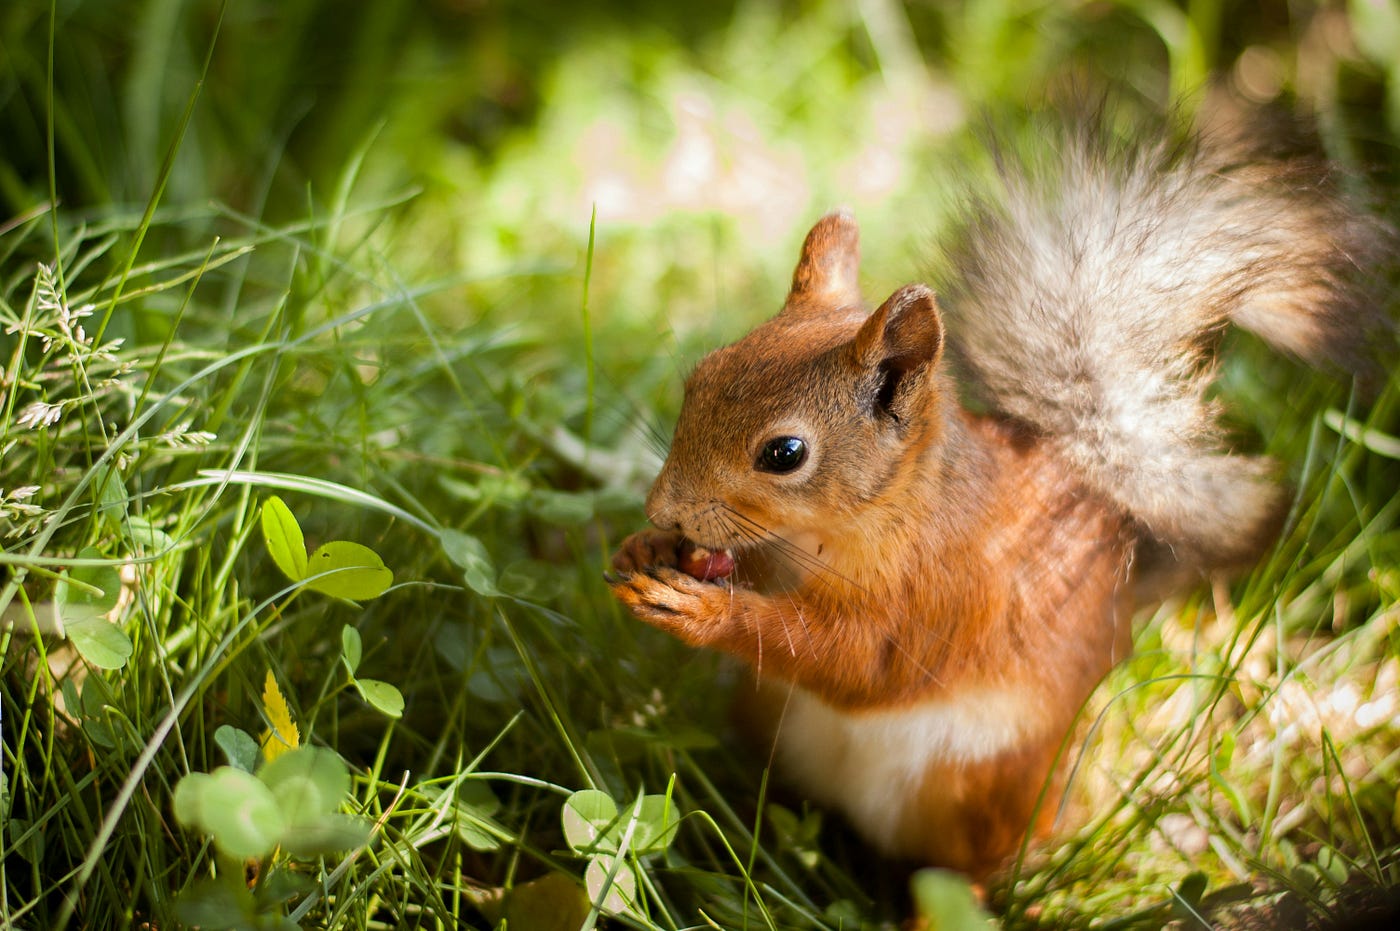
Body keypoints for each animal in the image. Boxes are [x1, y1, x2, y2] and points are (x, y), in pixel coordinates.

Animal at [607, 112, 1390, 877]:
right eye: (703, 375)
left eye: (785, 454)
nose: (661, 508)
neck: (854, 523)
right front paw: (647, 548)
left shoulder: (943, 593)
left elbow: (857, 662)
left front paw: (708, 611)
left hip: (982, 790)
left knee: (977, 871)